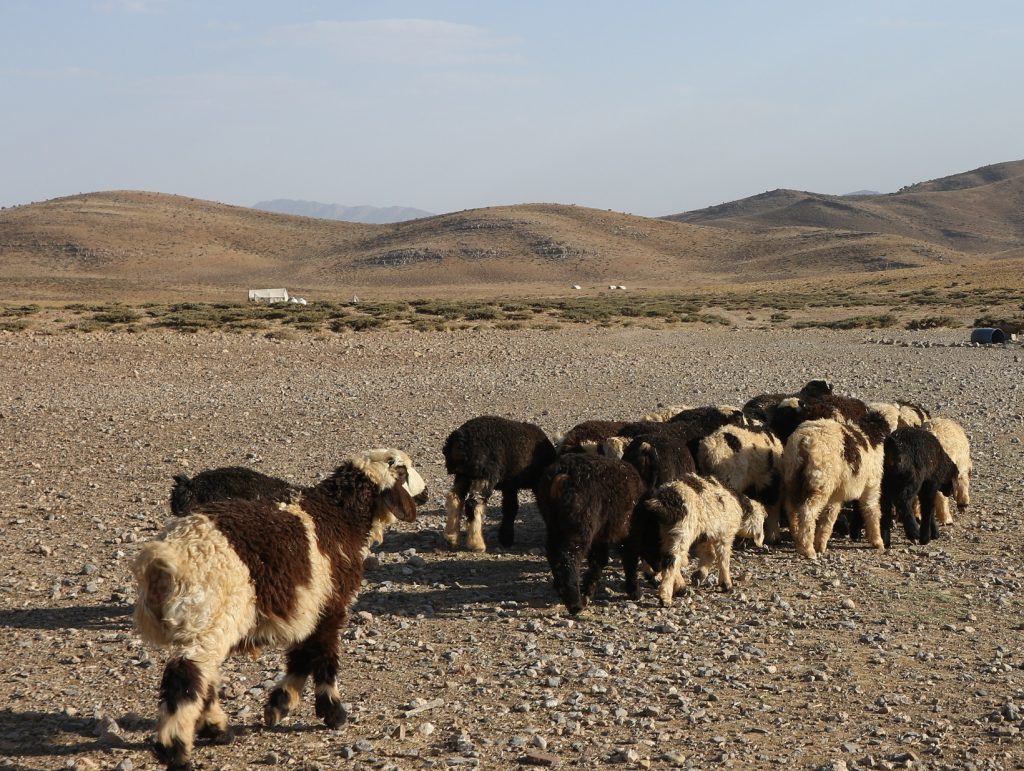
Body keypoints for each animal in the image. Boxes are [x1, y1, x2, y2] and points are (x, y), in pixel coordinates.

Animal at [134, 448, 417, 765]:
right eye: (405, 472)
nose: (424, 496)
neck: (340, 516)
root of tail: (162, 561)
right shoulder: (331, 603)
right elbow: (323, 654)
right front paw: (332, 712)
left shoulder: (309, 606)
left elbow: (302, 654)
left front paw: (280, 703)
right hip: (208, 619)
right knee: (186, 677)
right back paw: (176, 748)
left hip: (205, 625)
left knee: (202, 676)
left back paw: (217, 729)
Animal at [440, 417, 552, 548]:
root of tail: (460, 439)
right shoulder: (514, 485)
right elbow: (512, 508)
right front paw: (506, 538)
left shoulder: (510, 485)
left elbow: (510, 507)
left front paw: (505, 537)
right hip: (484, 474)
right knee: (473, 503)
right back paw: (476, 543)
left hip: (464, 474)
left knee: (455, 497)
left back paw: (451, 537)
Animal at [532, 450, 643, 614]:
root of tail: (563, 475)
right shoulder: (628, 531)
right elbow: (629, 558)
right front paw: (634, 590)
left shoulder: (601, 533)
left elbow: (599, 559)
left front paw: (588, 590)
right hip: (581, 524)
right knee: (569, 556)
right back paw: (574, 603)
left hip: (554, 523)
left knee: (552, 552)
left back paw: (561, 589)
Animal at [643, 473, 765, 606]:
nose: (761, 541)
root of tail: (663, 501)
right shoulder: (725, 534)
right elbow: (723, 559)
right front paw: (727, 585)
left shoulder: (706, 534)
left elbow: (709, 555)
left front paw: (698, 576)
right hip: (681, 532)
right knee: (671, 560)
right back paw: (666, 597)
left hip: (656, 534)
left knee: (657, 558)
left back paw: (673, 585)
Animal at [778, 411, 892, 557]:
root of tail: (804, 441)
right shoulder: (871, 485)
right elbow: (871, 510)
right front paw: (877, 542)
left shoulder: (837, 494)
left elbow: (828, 516)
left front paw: (821, 544)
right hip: (819, 484)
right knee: (808, 512)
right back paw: (808, 550)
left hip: (792, 480)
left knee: (791, 509)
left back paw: (798, 540)